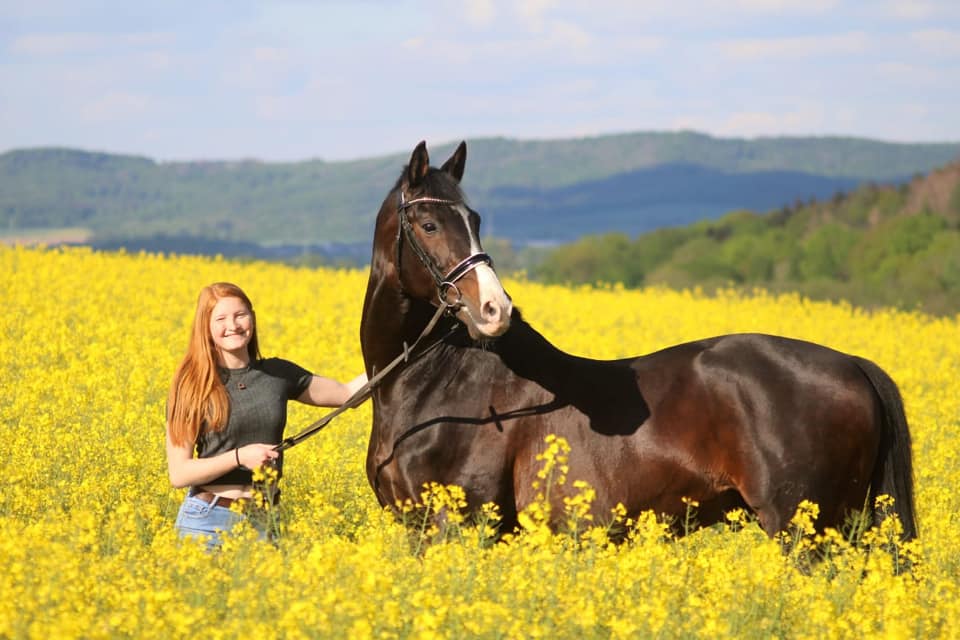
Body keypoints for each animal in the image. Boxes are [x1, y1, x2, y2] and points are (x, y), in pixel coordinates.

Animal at [358, 140, 916, 540]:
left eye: (473, 221)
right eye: (428, 223)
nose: (495, 310)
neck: (442, 386)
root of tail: (852, 364)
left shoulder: (459, 526)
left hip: (807, 531)